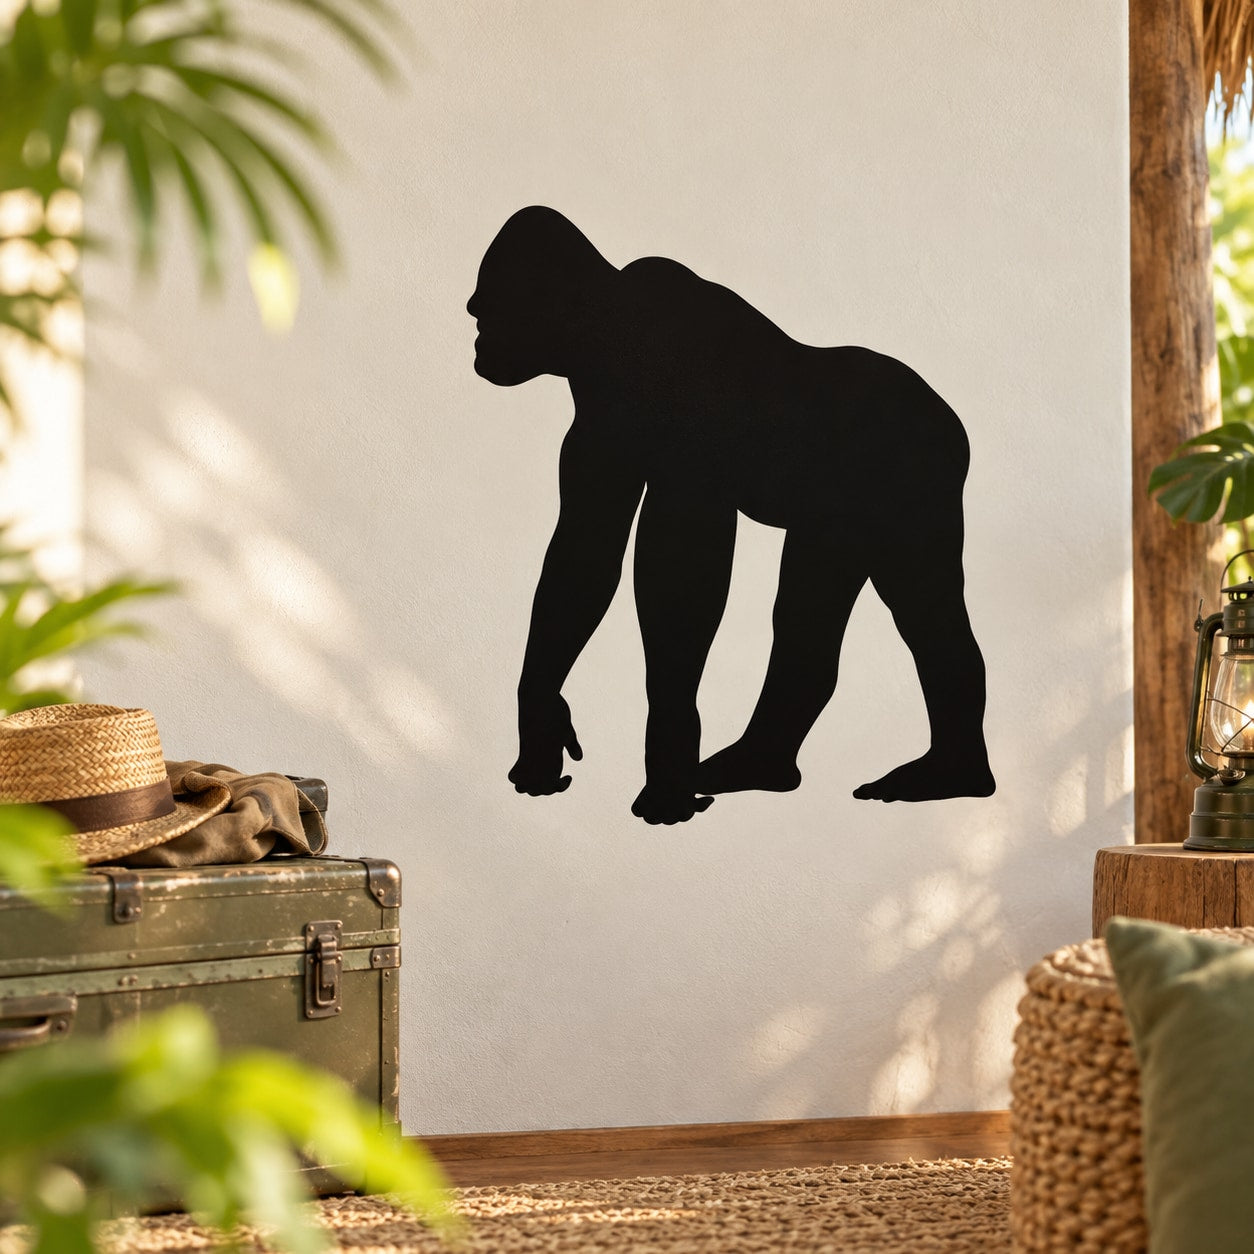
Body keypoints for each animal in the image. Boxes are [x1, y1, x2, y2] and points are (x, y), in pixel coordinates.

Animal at [468, 206, 994, 825]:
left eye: (489, 305)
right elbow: (587, 545)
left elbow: (680, 562)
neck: (606, 326)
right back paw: (760, 763)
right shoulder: (596, 417)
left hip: (920, 475)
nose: (474, 329)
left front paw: (667, 767)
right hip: (838, 518)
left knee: (925, 606)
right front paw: (542, 720)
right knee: (808, 615)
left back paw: (951, 774)